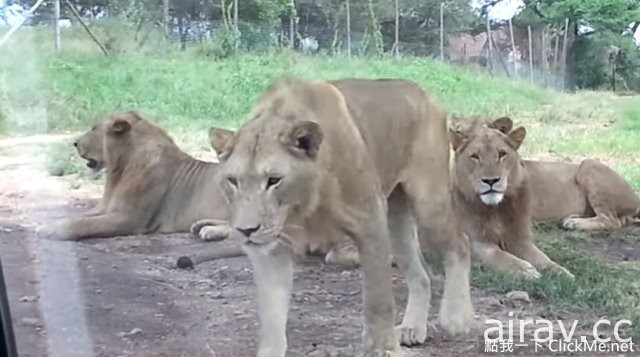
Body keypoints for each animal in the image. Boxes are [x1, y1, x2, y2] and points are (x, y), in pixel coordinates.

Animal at [38, 110, 232, 241]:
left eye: (94, 128)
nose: (75, 143)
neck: (119, 169)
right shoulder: (105, 208)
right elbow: (79, 216)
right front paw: (47, 224)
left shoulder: (130, 218)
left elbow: (85, 224)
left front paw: (55, 230)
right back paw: (202, 225)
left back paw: (210, 231)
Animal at [201, 77, 476, 354]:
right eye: (232, 181)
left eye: (274, 180)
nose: (246, 230)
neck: (302, 205)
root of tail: (424, 94)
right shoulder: (272, 250)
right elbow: (271, 317)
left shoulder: (370, 219)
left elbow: (378, 300)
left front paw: (382, 349)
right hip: (397, 221)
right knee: (421, 274)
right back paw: (413, 327)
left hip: (429, 204)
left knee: (460, 243)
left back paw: (457, 317)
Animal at [448, 117, 572, 278]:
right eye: (475, 156)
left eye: (502, 154)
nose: (491, 181)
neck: (497, 209)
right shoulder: (476, 242)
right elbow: (500, 255)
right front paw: (525, 270)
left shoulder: (520, 239)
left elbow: (541, 257)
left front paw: (560, 271)